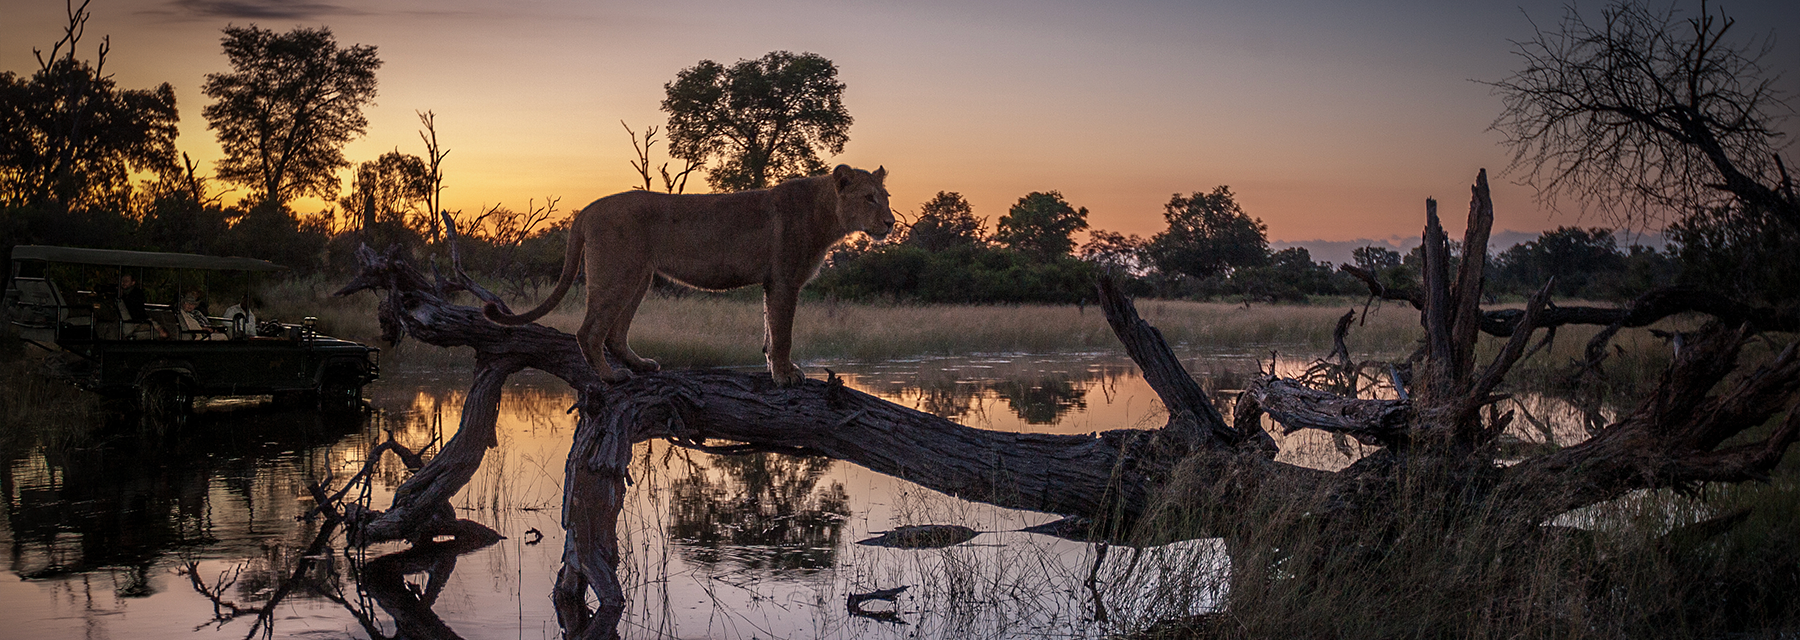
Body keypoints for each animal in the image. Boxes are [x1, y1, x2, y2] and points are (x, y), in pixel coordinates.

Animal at [483, 164, 894, 386]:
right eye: (869, 198)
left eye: (886, 197)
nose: (891, 222)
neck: (827, 214)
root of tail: (588, 208)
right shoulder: (785, 280)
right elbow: (783, 334)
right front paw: (785, 375)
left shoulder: (773, 283)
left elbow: (769, 330)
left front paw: (778, 369)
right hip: (618, 274)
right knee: (589, 331)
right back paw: (612, 377)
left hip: (639, 277)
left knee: (615, 333)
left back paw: (641, 365)